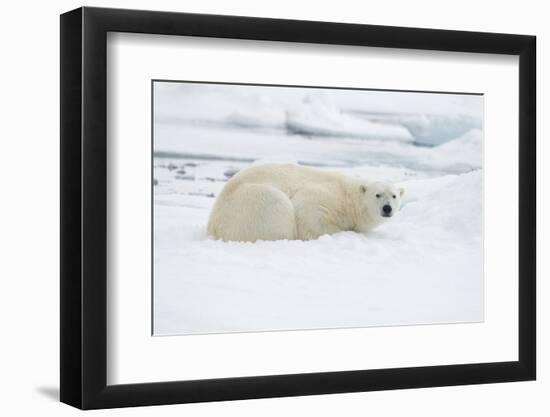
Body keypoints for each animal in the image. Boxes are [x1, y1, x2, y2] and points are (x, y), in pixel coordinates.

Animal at [208, 162, 406, 240]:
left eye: (394, 196)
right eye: (378, 194)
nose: (387, 208)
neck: (347, 197)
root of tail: (213, 225)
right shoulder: (325, 194)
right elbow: (308, 210)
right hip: (253, 203)